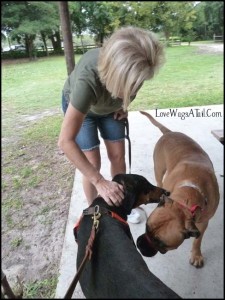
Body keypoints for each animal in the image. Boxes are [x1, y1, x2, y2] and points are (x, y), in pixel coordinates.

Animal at [137, 111, 220, 268]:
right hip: (159, 170)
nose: (138, 245)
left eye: (161, 244)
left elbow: (198, 239)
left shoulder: (203, 222)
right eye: (146, 228)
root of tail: (169, 132)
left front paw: (196, 254)